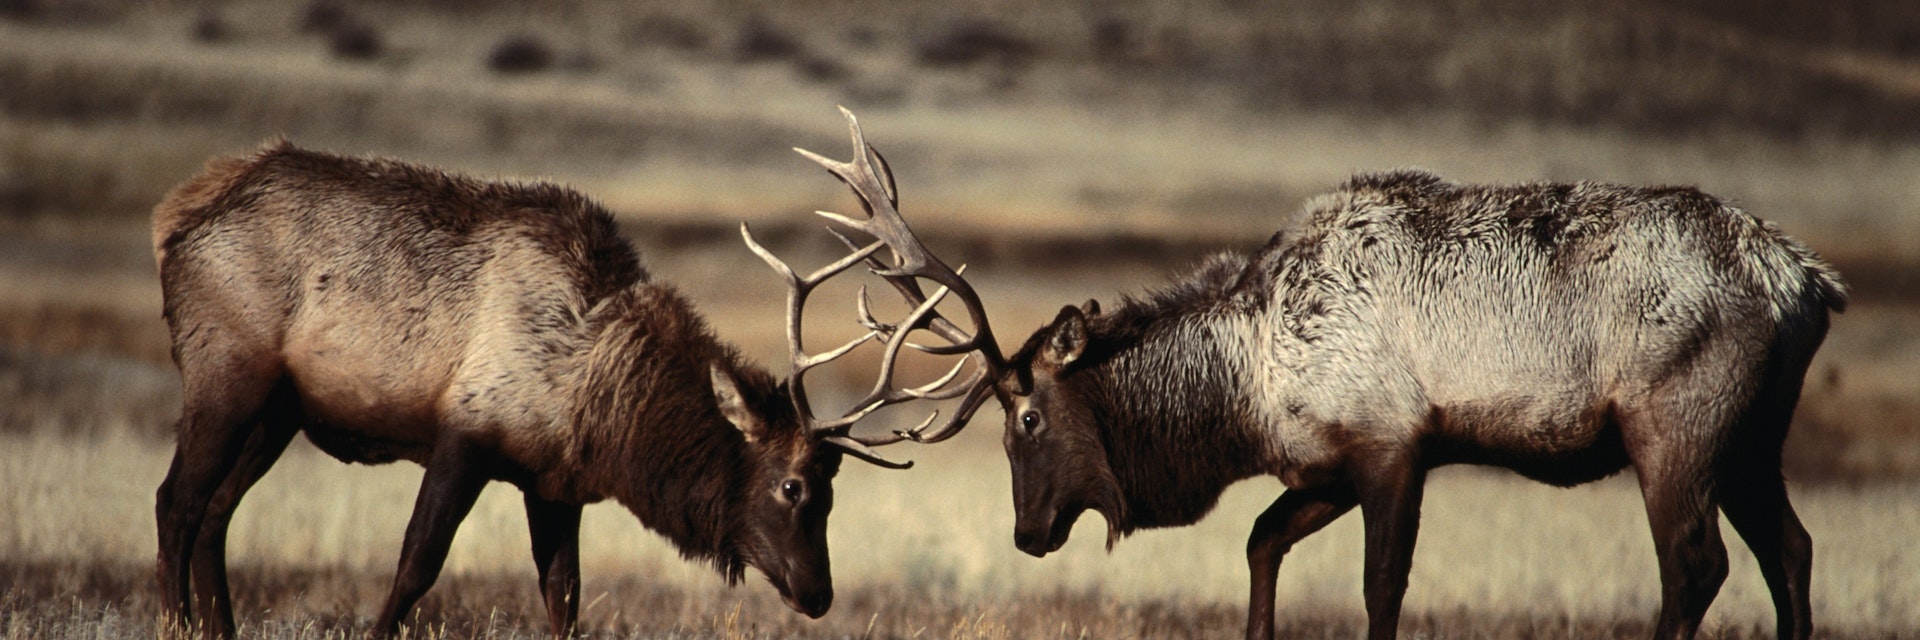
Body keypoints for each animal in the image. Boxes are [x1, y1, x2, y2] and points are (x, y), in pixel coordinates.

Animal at [149, 134, 977, 638]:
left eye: (834, 490)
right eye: (794, 487)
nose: (818, 592)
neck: (599, 400)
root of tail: (173, 219)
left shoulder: (552, 485)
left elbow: (564, 595)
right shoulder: (466, 436)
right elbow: (416, 563)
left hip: (277, 413)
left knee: (216, 513)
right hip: (225, 376)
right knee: (176, 502)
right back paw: (173, 622)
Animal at [787, 110, 1848, 640]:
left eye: (1028, 421)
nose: (1027, 532)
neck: (1245, 387)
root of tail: (1806, 278)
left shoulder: (1393, 445)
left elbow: (1381, 588)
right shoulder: (1325, 465)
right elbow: (1261, 542)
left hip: (1677, 425)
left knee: (1696, 566)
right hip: (1755, 436)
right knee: (1790, 552)